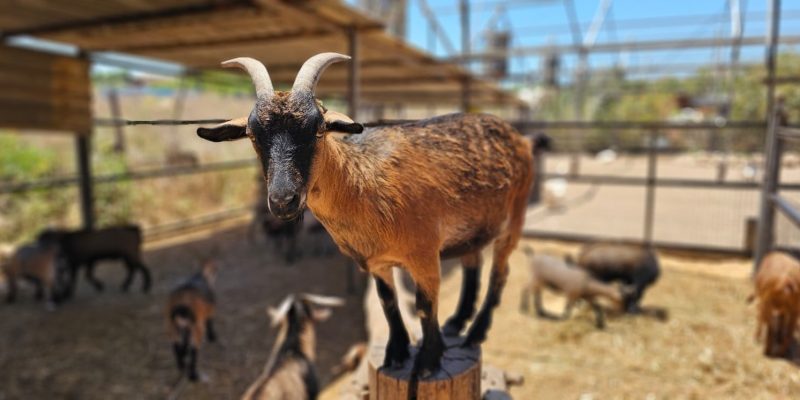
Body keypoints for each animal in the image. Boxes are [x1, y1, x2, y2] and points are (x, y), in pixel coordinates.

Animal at [198, 54, 536, 384]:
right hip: (475, 226)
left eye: (319, 128)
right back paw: (456, 322)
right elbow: (388, 303)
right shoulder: (377, 262)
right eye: (252, 134)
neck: (365, 183)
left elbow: (424, 306)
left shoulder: (425, 255)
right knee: (473, 264)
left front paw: (428, 361)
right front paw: (396, 354)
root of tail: (519, 137)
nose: (284, 200)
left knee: (499, 274)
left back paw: (475, 332)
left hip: (514, 217)